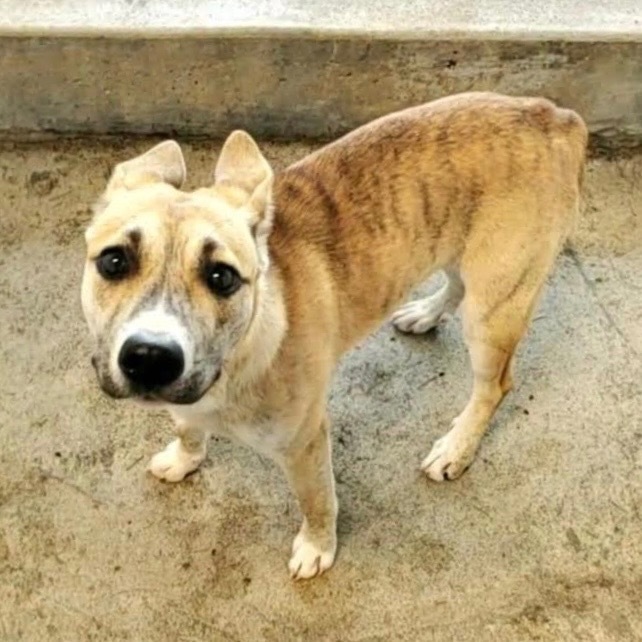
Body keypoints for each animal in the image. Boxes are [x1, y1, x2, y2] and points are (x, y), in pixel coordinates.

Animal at [80, 92, 584, 576]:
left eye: (222, 277)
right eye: (114, 261)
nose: (150, 357)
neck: (241, 354)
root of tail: (553, 116)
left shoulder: (305, 442)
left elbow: (317, 501)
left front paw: (317, 547)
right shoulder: (185, 403)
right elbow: (187, 428)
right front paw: (185, 458)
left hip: (493, 309)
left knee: (493, 386)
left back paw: (456, 448)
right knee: (456, 285)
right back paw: (425, 313)